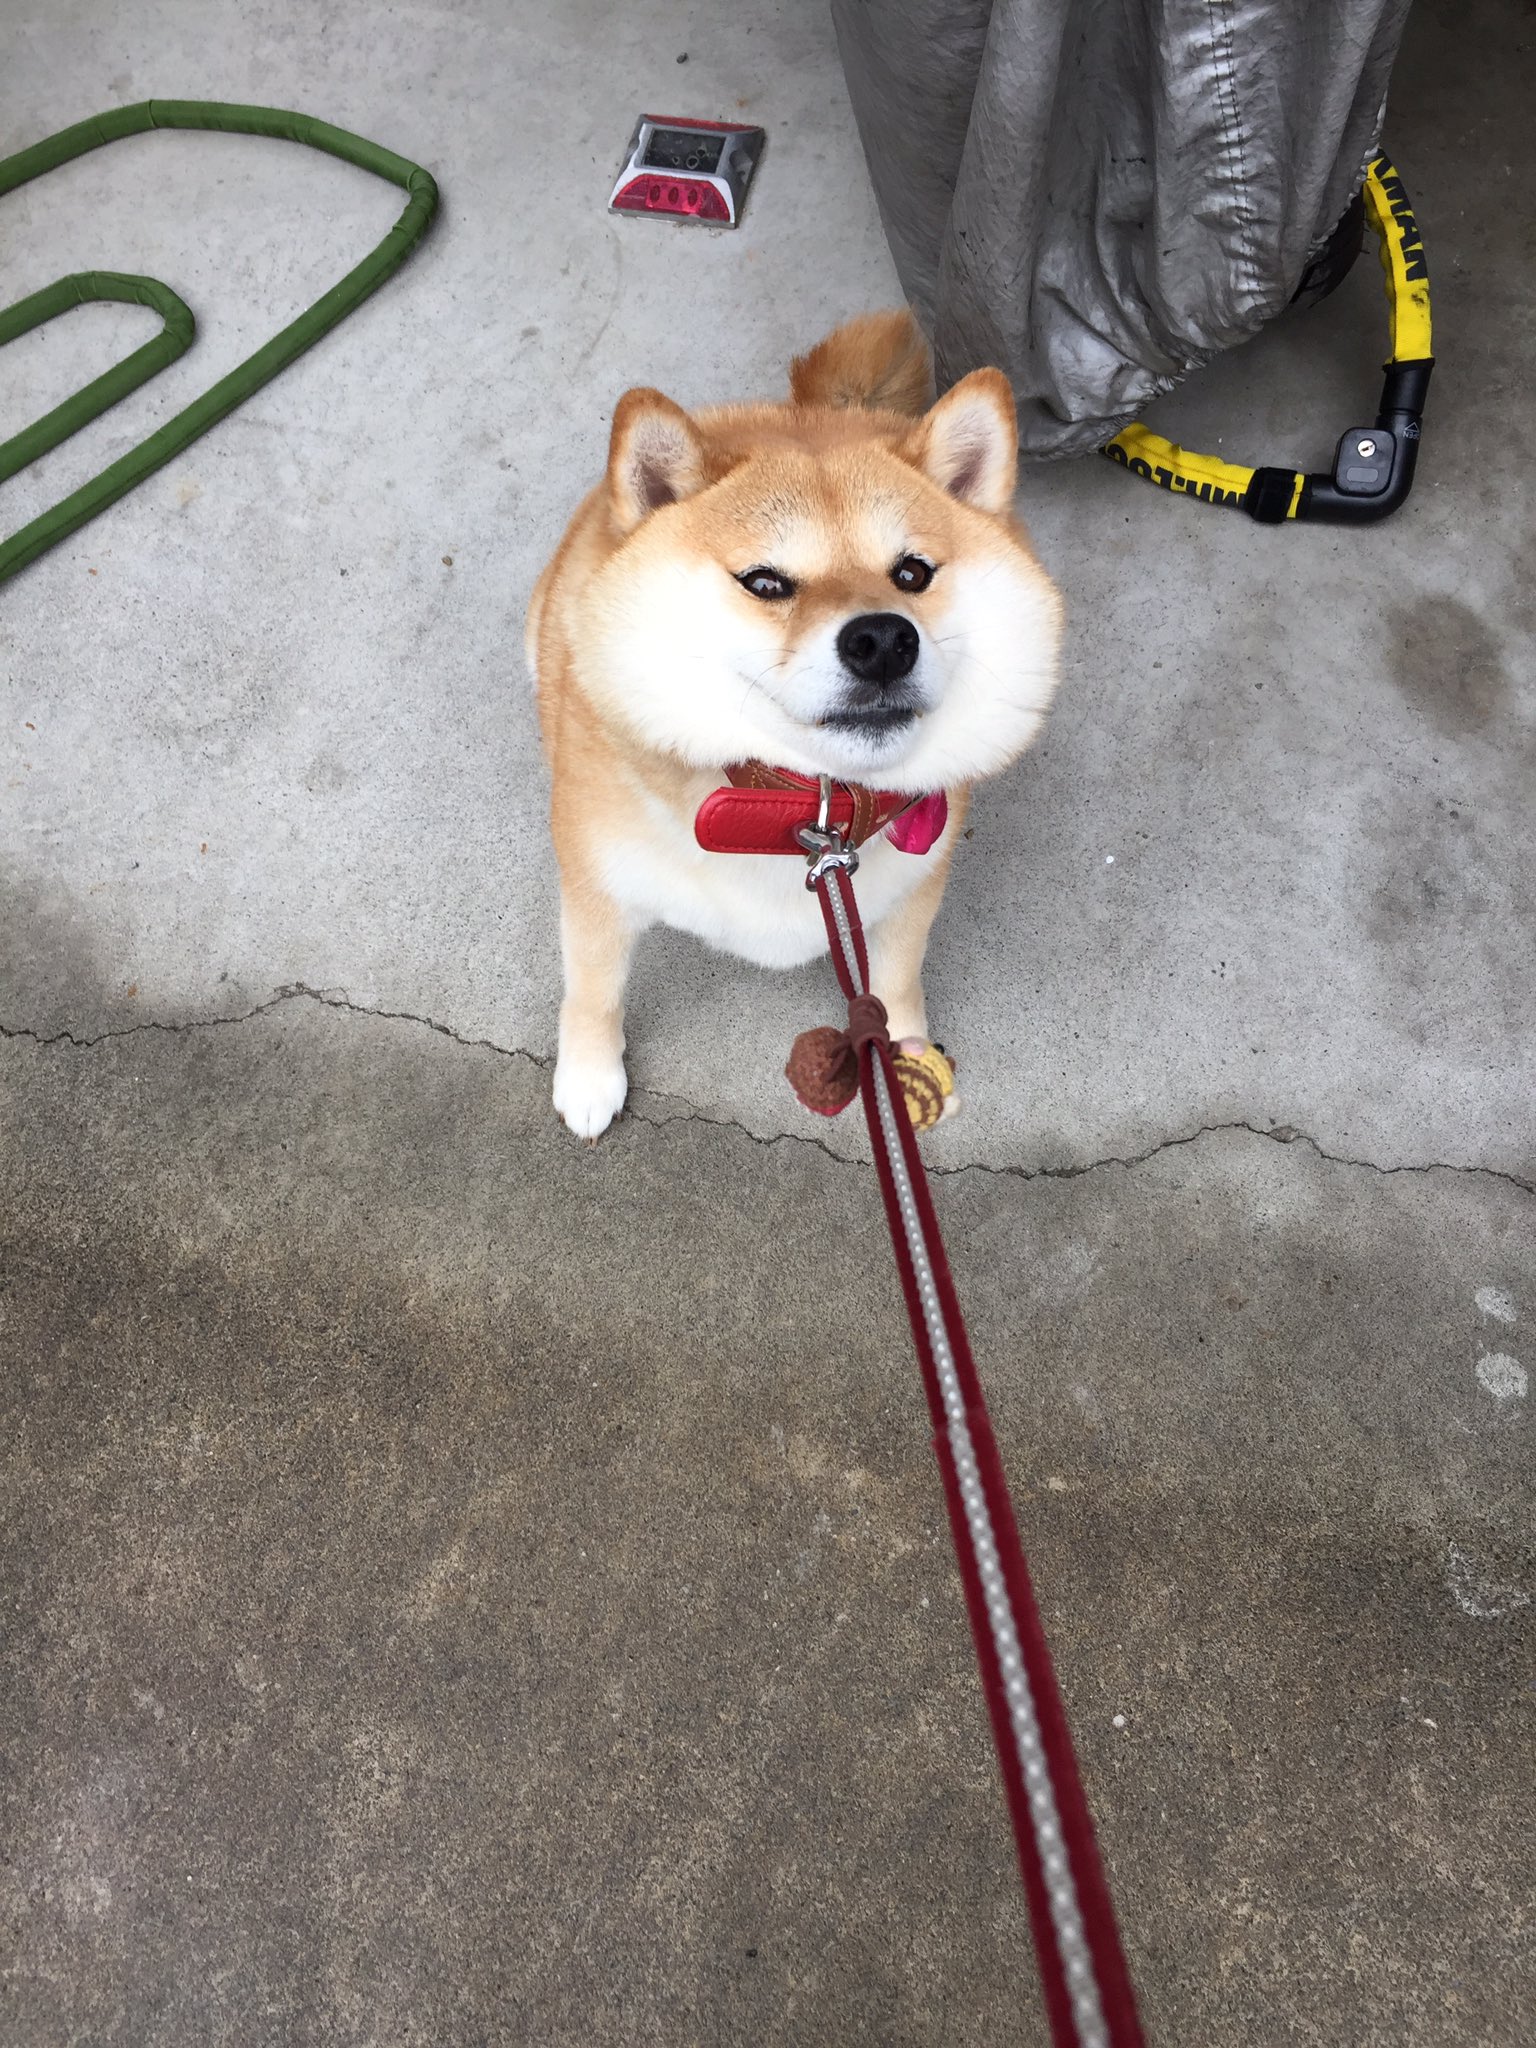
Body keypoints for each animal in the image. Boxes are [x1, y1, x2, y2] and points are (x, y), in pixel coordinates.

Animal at [526, 311, 1062, 1139]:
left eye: (912, 574)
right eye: (766, 583)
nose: (883, 640)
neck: (800, 806)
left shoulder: (911, 897)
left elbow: (897, 984)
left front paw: (905, 1057)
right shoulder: (595, 887)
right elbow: (593, 988)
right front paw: (588, 1073)